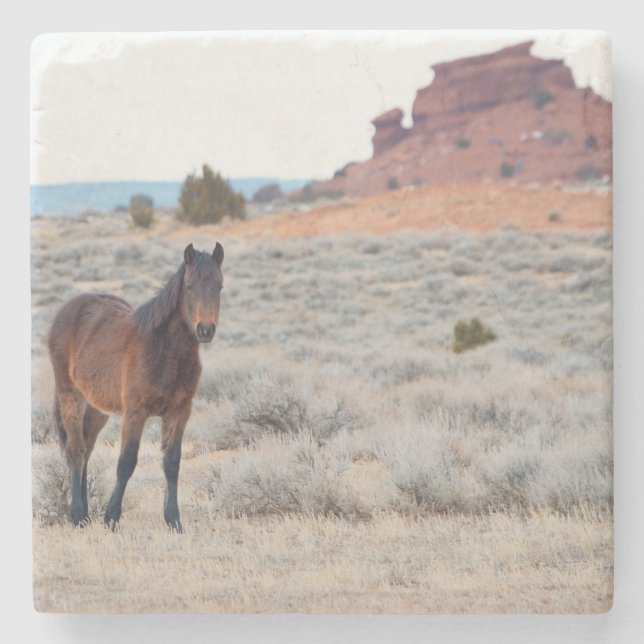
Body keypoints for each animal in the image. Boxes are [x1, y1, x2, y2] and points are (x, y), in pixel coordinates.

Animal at [47, 242, 224, 532]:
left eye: (219, 286)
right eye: (189, 286)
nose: (205, 330)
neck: (165, 350)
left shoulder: (179, 412)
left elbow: (172, 463)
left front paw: (174, 521)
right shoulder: (135, 413)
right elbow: (126, 463)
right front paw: (111, 519)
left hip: (97, 409)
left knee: (87, 449)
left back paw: (86, 514)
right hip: (70, 395)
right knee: (76, 450)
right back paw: (78, 516)